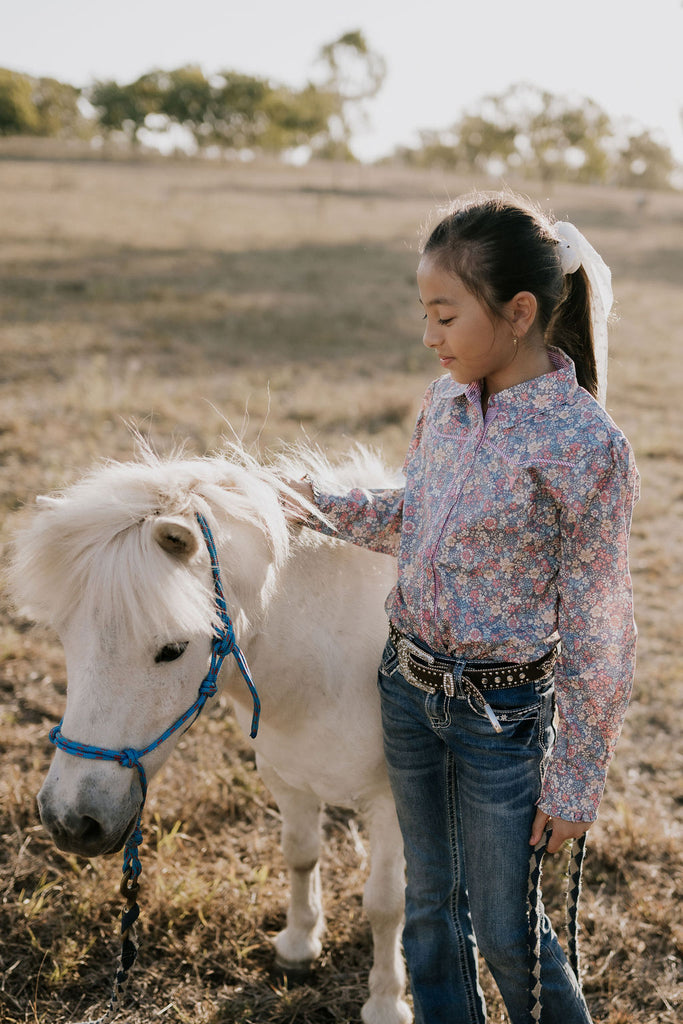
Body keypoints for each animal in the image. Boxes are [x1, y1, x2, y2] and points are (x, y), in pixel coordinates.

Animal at [9, 444, 411, 1024]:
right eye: (65, 636)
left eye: (173, 649)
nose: (68, 821)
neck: (330, 666)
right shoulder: (288, 779)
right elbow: (300, 854)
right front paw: (298, 944)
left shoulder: (392, 803)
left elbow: (385, 904)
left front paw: (385, 1001)